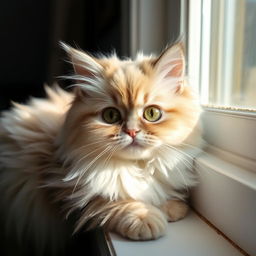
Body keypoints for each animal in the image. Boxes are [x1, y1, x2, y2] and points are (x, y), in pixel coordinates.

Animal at [1, 42, 203, 254]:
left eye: (152, 113)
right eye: (111, 116)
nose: (132, 132)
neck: (136, 166)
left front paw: (170, 206)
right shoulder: (60, 183)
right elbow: (110, 200)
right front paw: (145, 217)